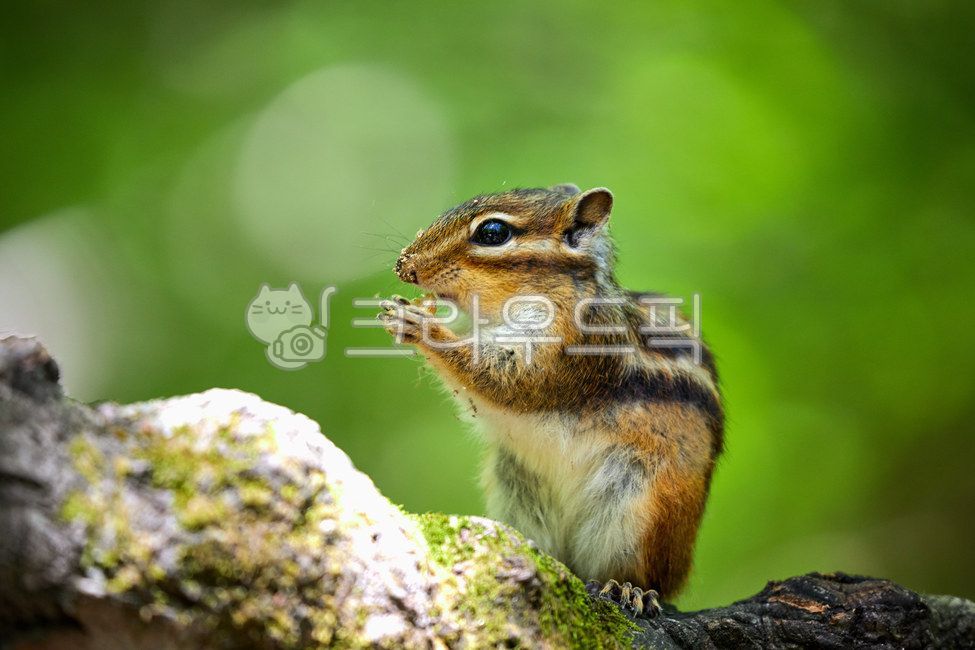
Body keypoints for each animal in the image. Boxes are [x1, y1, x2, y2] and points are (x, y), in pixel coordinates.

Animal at [378, 184, 724, 616]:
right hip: (517, 489)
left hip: (648, 506)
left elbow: (508, 382)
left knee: (648, 576)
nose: (403, 265)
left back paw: (631, 589)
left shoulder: (572, 349)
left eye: (492, 233)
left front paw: (422, 326)